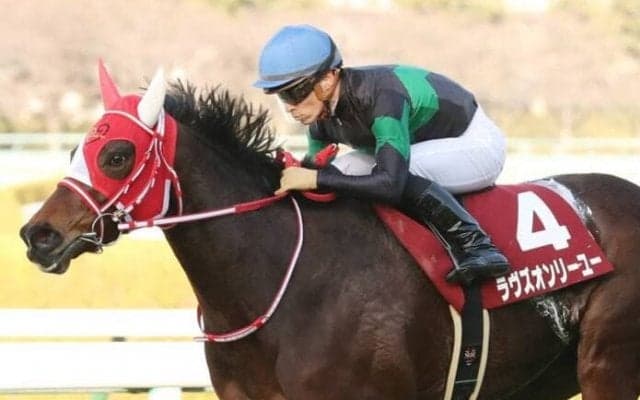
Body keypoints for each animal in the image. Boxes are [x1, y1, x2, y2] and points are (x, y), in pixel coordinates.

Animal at [19, 64, 640, 400]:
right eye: (75, 152)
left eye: (117, 155)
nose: (36, 234)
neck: (280, 282)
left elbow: (394, 174)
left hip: (607, 363)